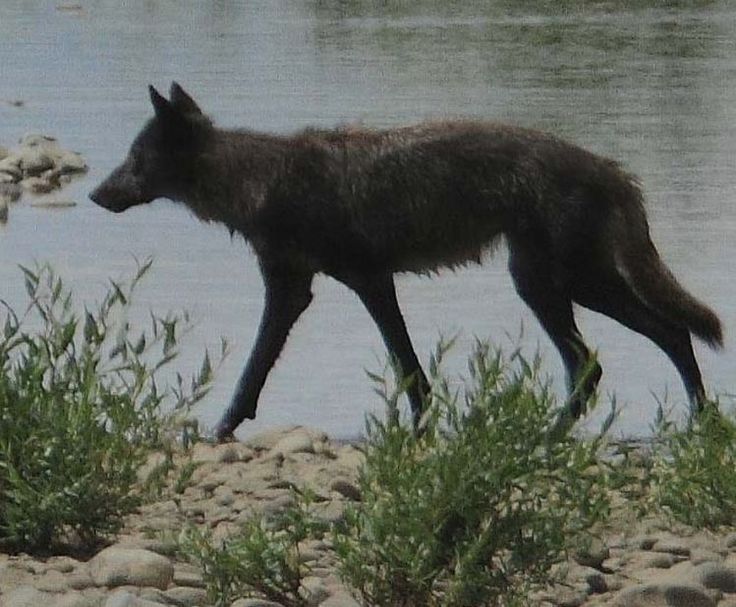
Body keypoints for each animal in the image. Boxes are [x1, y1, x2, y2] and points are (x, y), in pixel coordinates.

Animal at [89, 83, 720, 440]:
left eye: (135, 159)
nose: (95, 195)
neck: (257, 178)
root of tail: (611, 169)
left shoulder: (336, 286)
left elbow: (260, 368)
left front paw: (219, 429)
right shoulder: (331, 287)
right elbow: (403, 368)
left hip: (560, 286)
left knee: (630, 349)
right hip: (558, 286)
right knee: (646, 344)